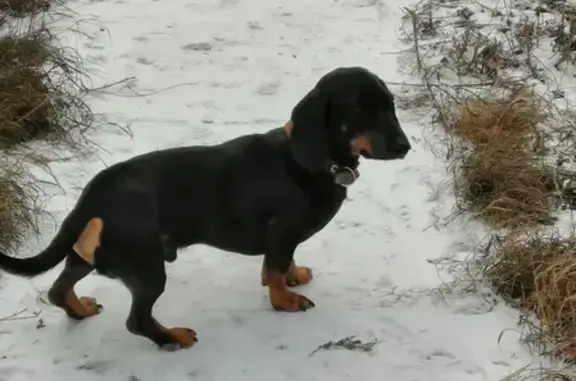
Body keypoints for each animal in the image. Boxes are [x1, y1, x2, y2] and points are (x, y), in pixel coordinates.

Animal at [0, 66, 410, 350]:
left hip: (88, 253)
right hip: (148, 268)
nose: (404, 147)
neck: (307, 163)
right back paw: (172, 337)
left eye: (389, 105)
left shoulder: (287, 240)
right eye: (360, 109)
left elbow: (285, 264)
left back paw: (81, 309)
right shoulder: (281, 233)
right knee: (136, 320)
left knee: (58, 290)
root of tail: (95, 194)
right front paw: (285, 300)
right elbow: (273, 271)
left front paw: (295, 275)